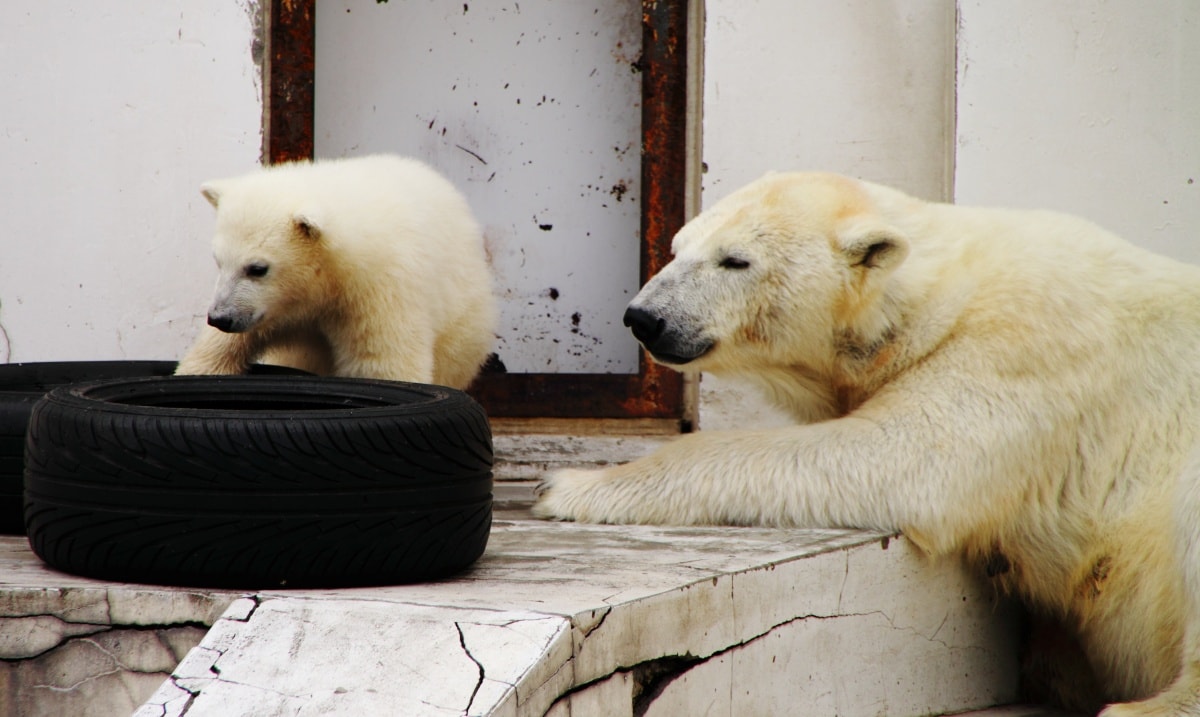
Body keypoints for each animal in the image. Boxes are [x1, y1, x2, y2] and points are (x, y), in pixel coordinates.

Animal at [540, 172, 1200, 714]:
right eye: (677, 248)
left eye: (735, 260)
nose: (644, 317)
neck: (939, 297)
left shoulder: (1020, 349)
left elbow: (897, 457)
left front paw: (570, 486)